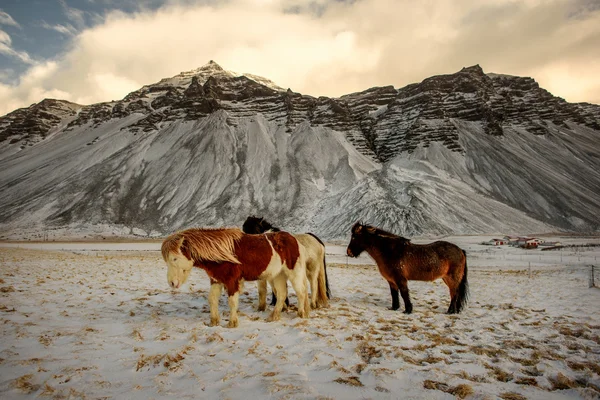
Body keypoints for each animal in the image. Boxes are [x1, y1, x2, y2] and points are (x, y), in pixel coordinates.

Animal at [162, 228, 310, 328]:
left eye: (174, 258)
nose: (172, 283)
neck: (220, 253)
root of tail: (295, 240)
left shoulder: (232, 281)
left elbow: (232, 302)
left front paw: (232, 323)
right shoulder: (216, 280)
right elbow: (212, 299)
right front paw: (213, 322)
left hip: (294, 273)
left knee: (301, 292)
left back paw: (301, 314)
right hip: (278, 275)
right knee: (282, 295)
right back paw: (273, 317)